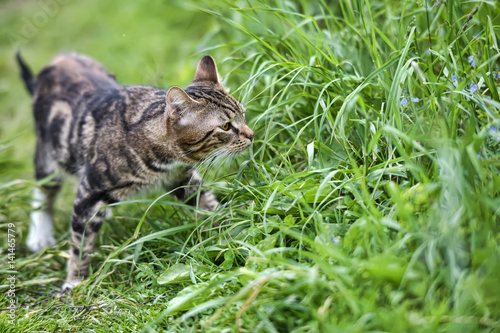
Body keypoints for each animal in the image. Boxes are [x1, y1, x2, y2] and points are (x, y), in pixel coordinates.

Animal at [16, 50, 254, 290]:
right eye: (225, 126)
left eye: (243, 114)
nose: (251, 135)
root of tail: (60, 56)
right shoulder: (90, 191)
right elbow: (80, 243)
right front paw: (75, 281)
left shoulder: (183, 179)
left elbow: (209, 207)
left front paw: (232, 231)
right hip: (50, 157)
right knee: (43, 192)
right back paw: (40, 235)